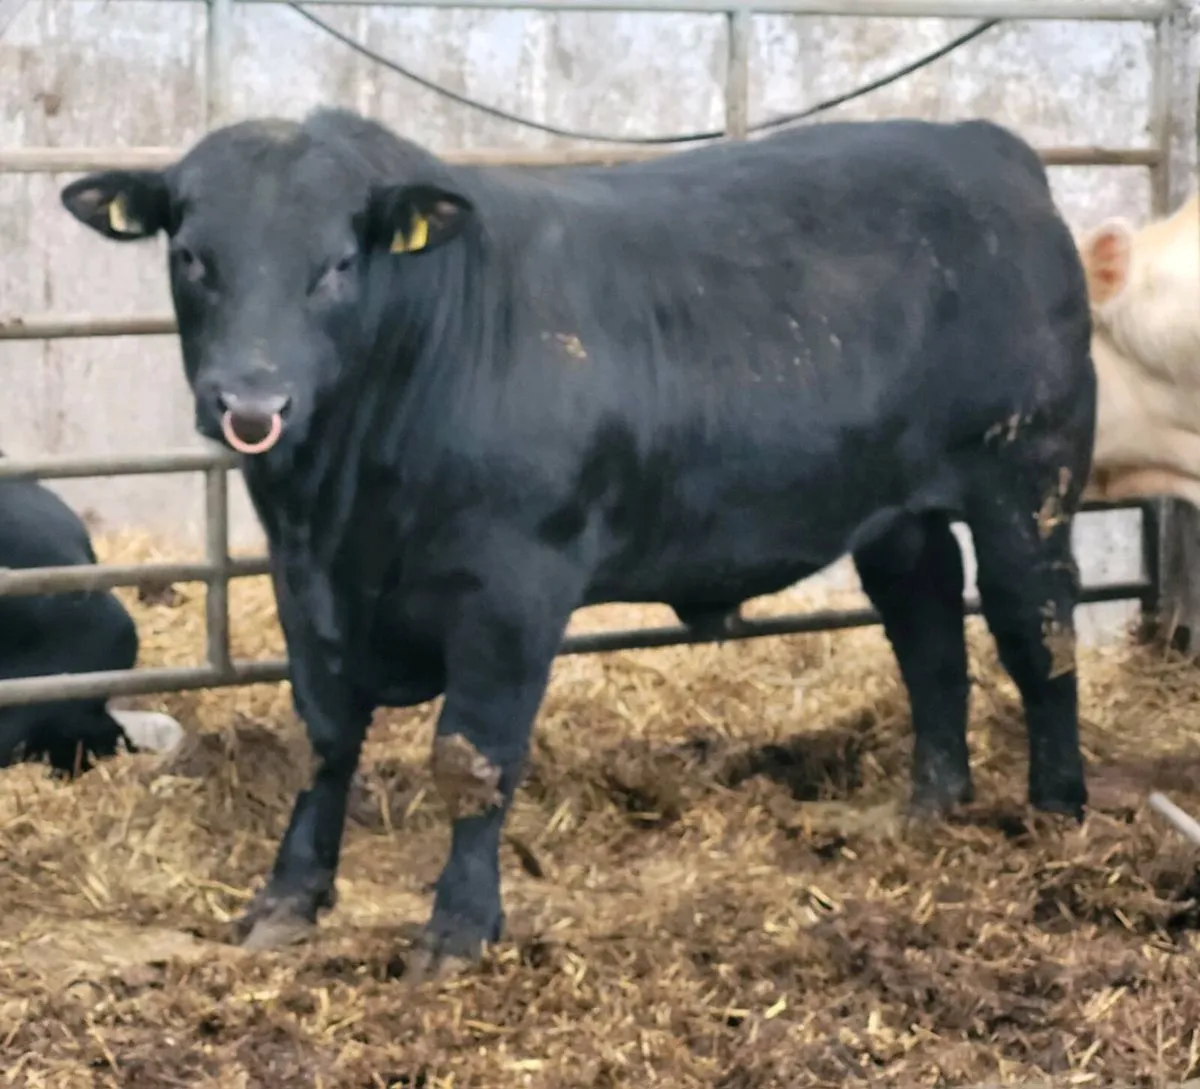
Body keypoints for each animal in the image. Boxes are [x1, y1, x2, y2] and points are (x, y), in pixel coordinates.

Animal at [59, 108, 1097, 978]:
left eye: (339, 264)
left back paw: (1057, 811)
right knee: (928, 634)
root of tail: (983, 143)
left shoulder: (514, 586)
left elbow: (472, 757)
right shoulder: (304, 582)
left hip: (1028, 483)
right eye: (192, 256)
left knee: (1037, 633)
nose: (250, 402)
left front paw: (457, 930)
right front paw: (287, 900)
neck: (342, 499)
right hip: (898, 515)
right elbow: (326, 737)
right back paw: (926, 805)